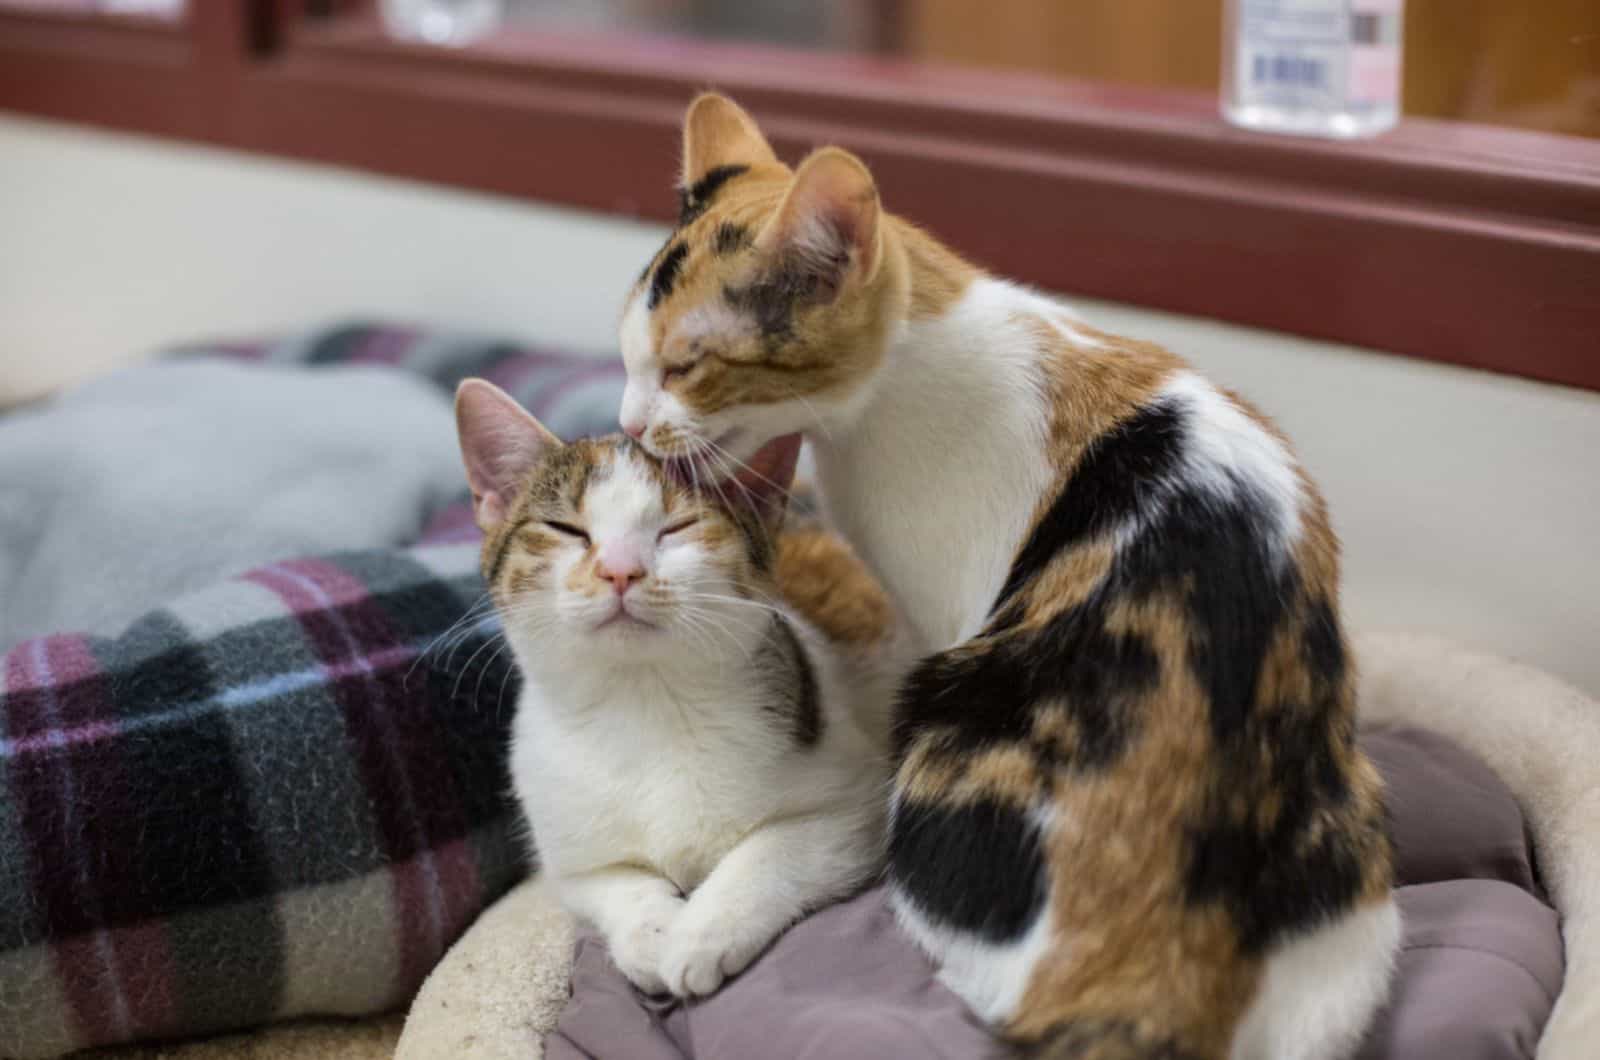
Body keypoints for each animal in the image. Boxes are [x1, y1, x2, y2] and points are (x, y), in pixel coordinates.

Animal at [611, 95, 1401, 1056]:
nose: (629, 421)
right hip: (1355, 890)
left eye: (686, 366)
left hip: (944, 713)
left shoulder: (938, 610)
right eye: (625, 356)